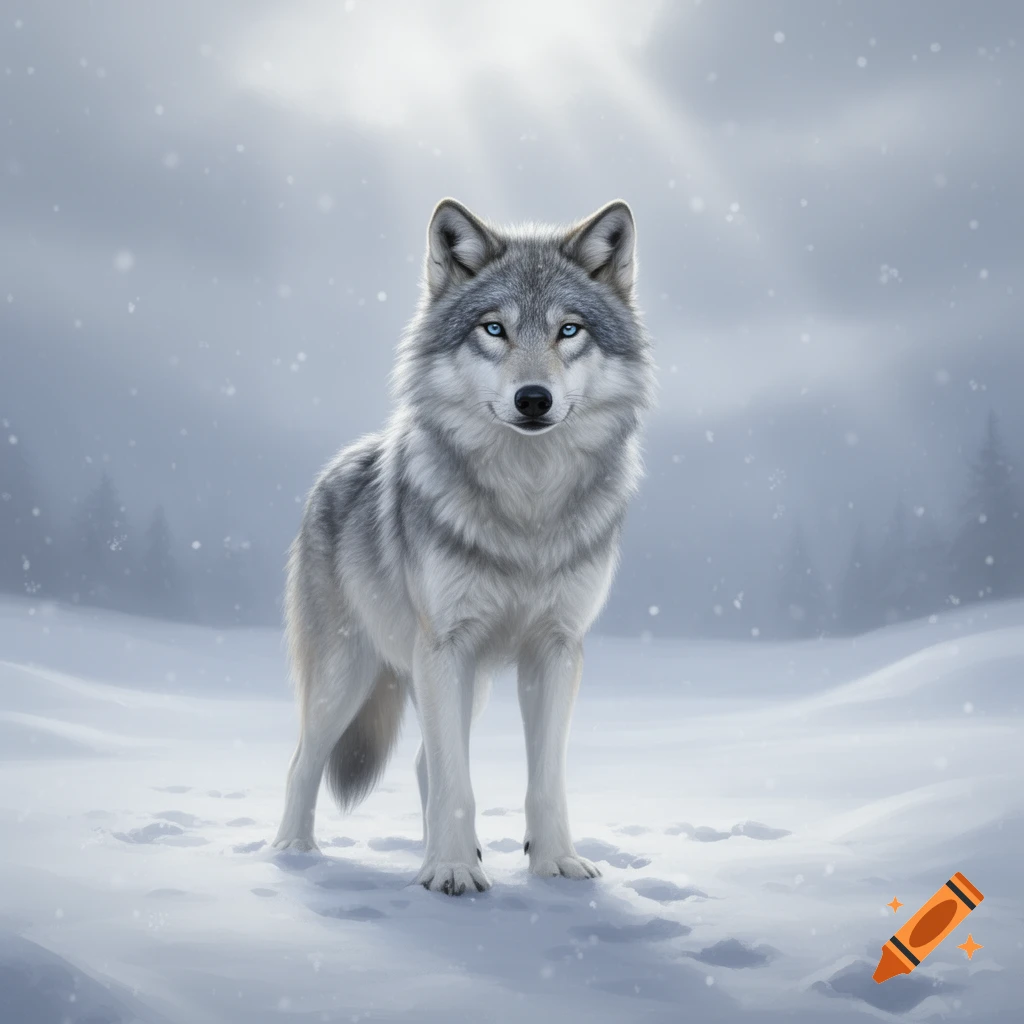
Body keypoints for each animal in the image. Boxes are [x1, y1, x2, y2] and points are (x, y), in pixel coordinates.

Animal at [272, 198, 656, 895]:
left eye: (569, 330)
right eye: (493, 329)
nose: (533, 399)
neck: (526, 507)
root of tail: (336, 466)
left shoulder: (556, 650)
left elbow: (543, 779)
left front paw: (555, 863)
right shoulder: (444, 647)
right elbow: (458, 780)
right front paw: (450, 870)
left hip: (464, 684)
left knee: (425, 761)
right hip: (347, 677)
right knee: (304, 762)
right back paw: (292, 855)